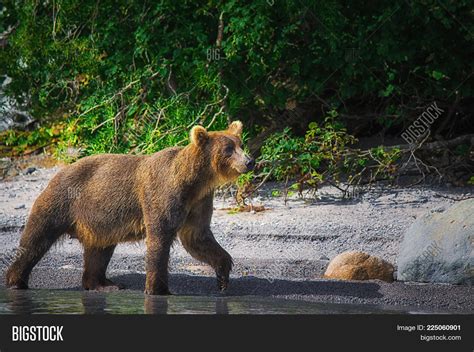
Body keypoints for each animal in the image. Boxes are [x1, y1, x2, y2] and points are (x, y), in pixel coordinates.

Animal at [5, 121, 254, 294]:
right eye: (228, 149)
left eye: (241, 144)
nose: (250, 161)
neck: (195, 180)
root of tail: (59, 171)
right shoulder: (163, 193)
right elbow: (160, 237)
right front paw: (158, 289)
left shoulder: (198, 201)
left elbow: (198, 237)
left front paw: (223, 275)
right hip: (62, 200)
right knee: (36, 239)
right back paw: (15, 281)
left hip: (99, 218)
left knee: (99, 250)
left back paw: (103, 284)